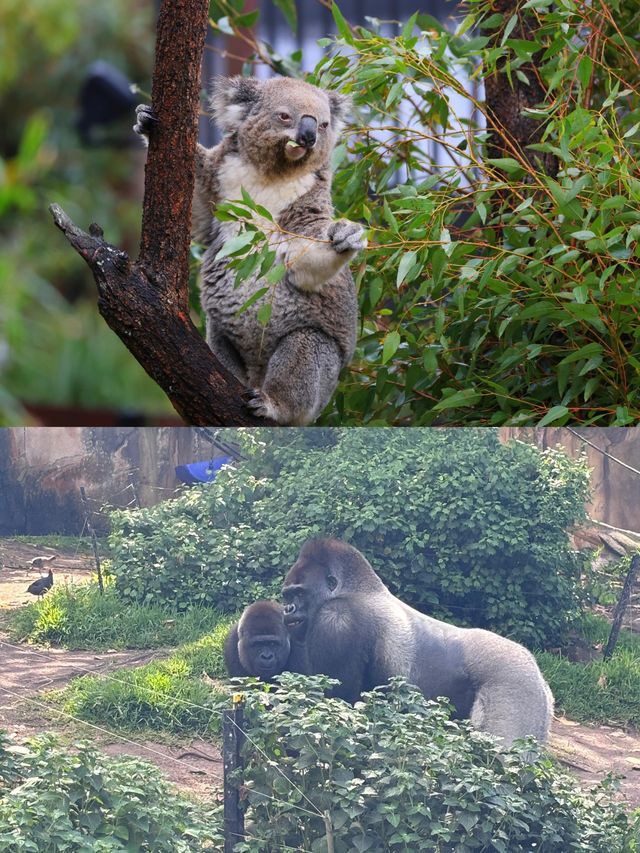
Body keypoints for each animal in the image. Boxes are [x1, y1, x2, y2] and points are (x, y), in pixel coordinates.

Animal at [282, 540, 552, 744]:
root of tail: (539, 675)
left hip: (515, 683)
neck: (352, 589)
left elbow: (338, 704)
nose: (287, 609)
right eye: (286, 595)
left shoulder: (336, 618)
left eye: (299, 593)